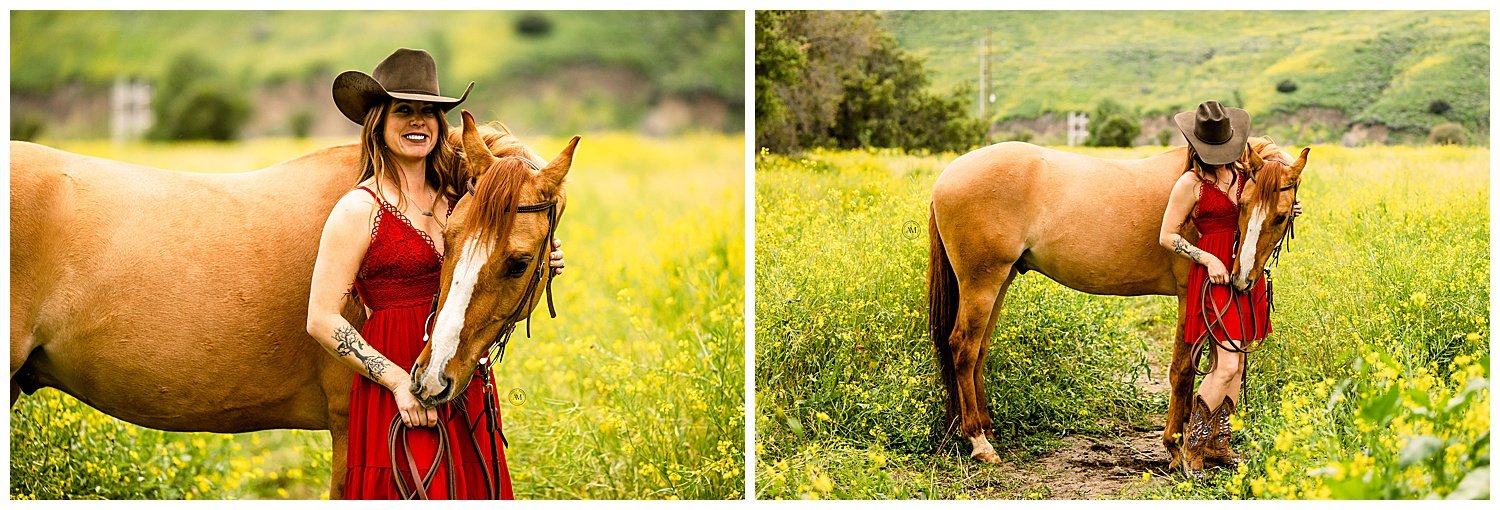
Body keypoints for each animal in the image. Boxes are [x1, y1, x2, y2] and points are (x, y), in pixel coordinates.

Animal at [930, 136, 1308, 465]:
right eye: (1242, 206)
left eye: (1280, 215)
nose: (1241, 279)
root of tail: (948, 175)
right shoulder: (1189, 296)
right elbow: (1183, 369)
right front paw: (1175, 446)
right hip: (982, 282)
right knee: (964, 348)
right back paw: (979, 441)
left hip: (1001, 278)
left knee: (980, 350)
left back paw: (986, 428)